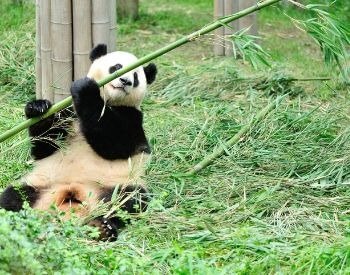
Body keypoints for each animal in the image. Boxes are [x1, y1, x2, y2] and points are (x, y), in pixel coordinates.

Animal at [0, 43, 157, 242]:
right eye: (116, 67)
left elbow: (116, 142)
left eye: (136, 77)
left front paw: (85, 88)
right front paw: (38, 108)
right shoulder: (68, 113)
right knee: (13, 197)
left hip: (116, 184)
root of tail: (71, 196)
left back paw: (103, 227)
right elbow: (46, 145)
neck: (108, 100)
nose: (125, 81)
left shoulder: (133, 118)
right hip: (38, 183)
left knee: (129, 201)